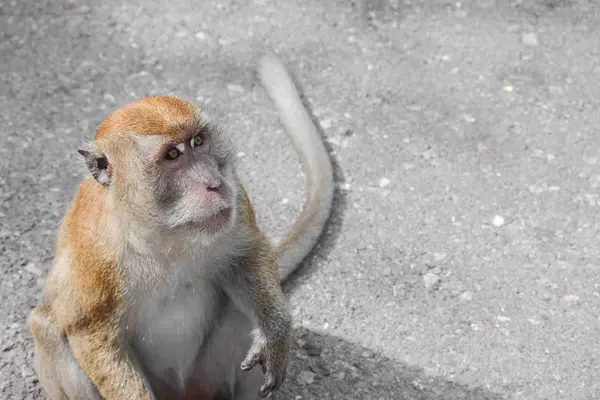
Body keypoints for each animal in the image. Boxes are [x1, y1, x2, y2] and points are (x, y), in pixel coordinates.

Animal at [28, 54, 336, 400]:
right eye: (173, 154)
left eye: (198, 142)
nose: (215, 183)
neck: (161, 232)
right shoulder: (96, 257)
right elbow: (88, 332)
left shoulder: (237, 199)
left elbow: (247, 254)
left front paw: (276, 333)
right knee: (47, 326)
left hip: (207, 377)